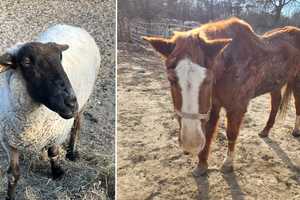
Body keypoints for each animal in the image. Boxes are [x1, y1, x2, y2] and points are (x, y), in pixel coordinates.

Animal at [0, 24, 101, 199]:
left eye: (60, 58)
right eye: (26, 61)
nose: (71, 103)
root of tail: (71, 26)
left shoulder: (56, 133)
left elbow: (53, 153)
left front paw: (57, 172)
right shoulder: (9, 142)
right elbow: (13, 175)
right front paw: (10, 195)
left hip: (84, 102)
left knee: (77, 126)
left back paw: (72, 152)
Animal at [143, 18, 300, 175]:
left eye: (208, 80)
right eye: (170, 80)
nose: (191, 143)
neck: (230, 64)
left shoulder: (237, 108)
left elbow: (231, 133)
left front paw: (227, 164)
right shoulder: (213, 106)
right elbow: (208, 132)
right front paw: (202, 165)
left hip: (296, 82)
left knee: (296, 105)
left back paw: (295, 131)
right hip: (275, 84)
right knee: (275, 104)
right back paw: (265, 131)